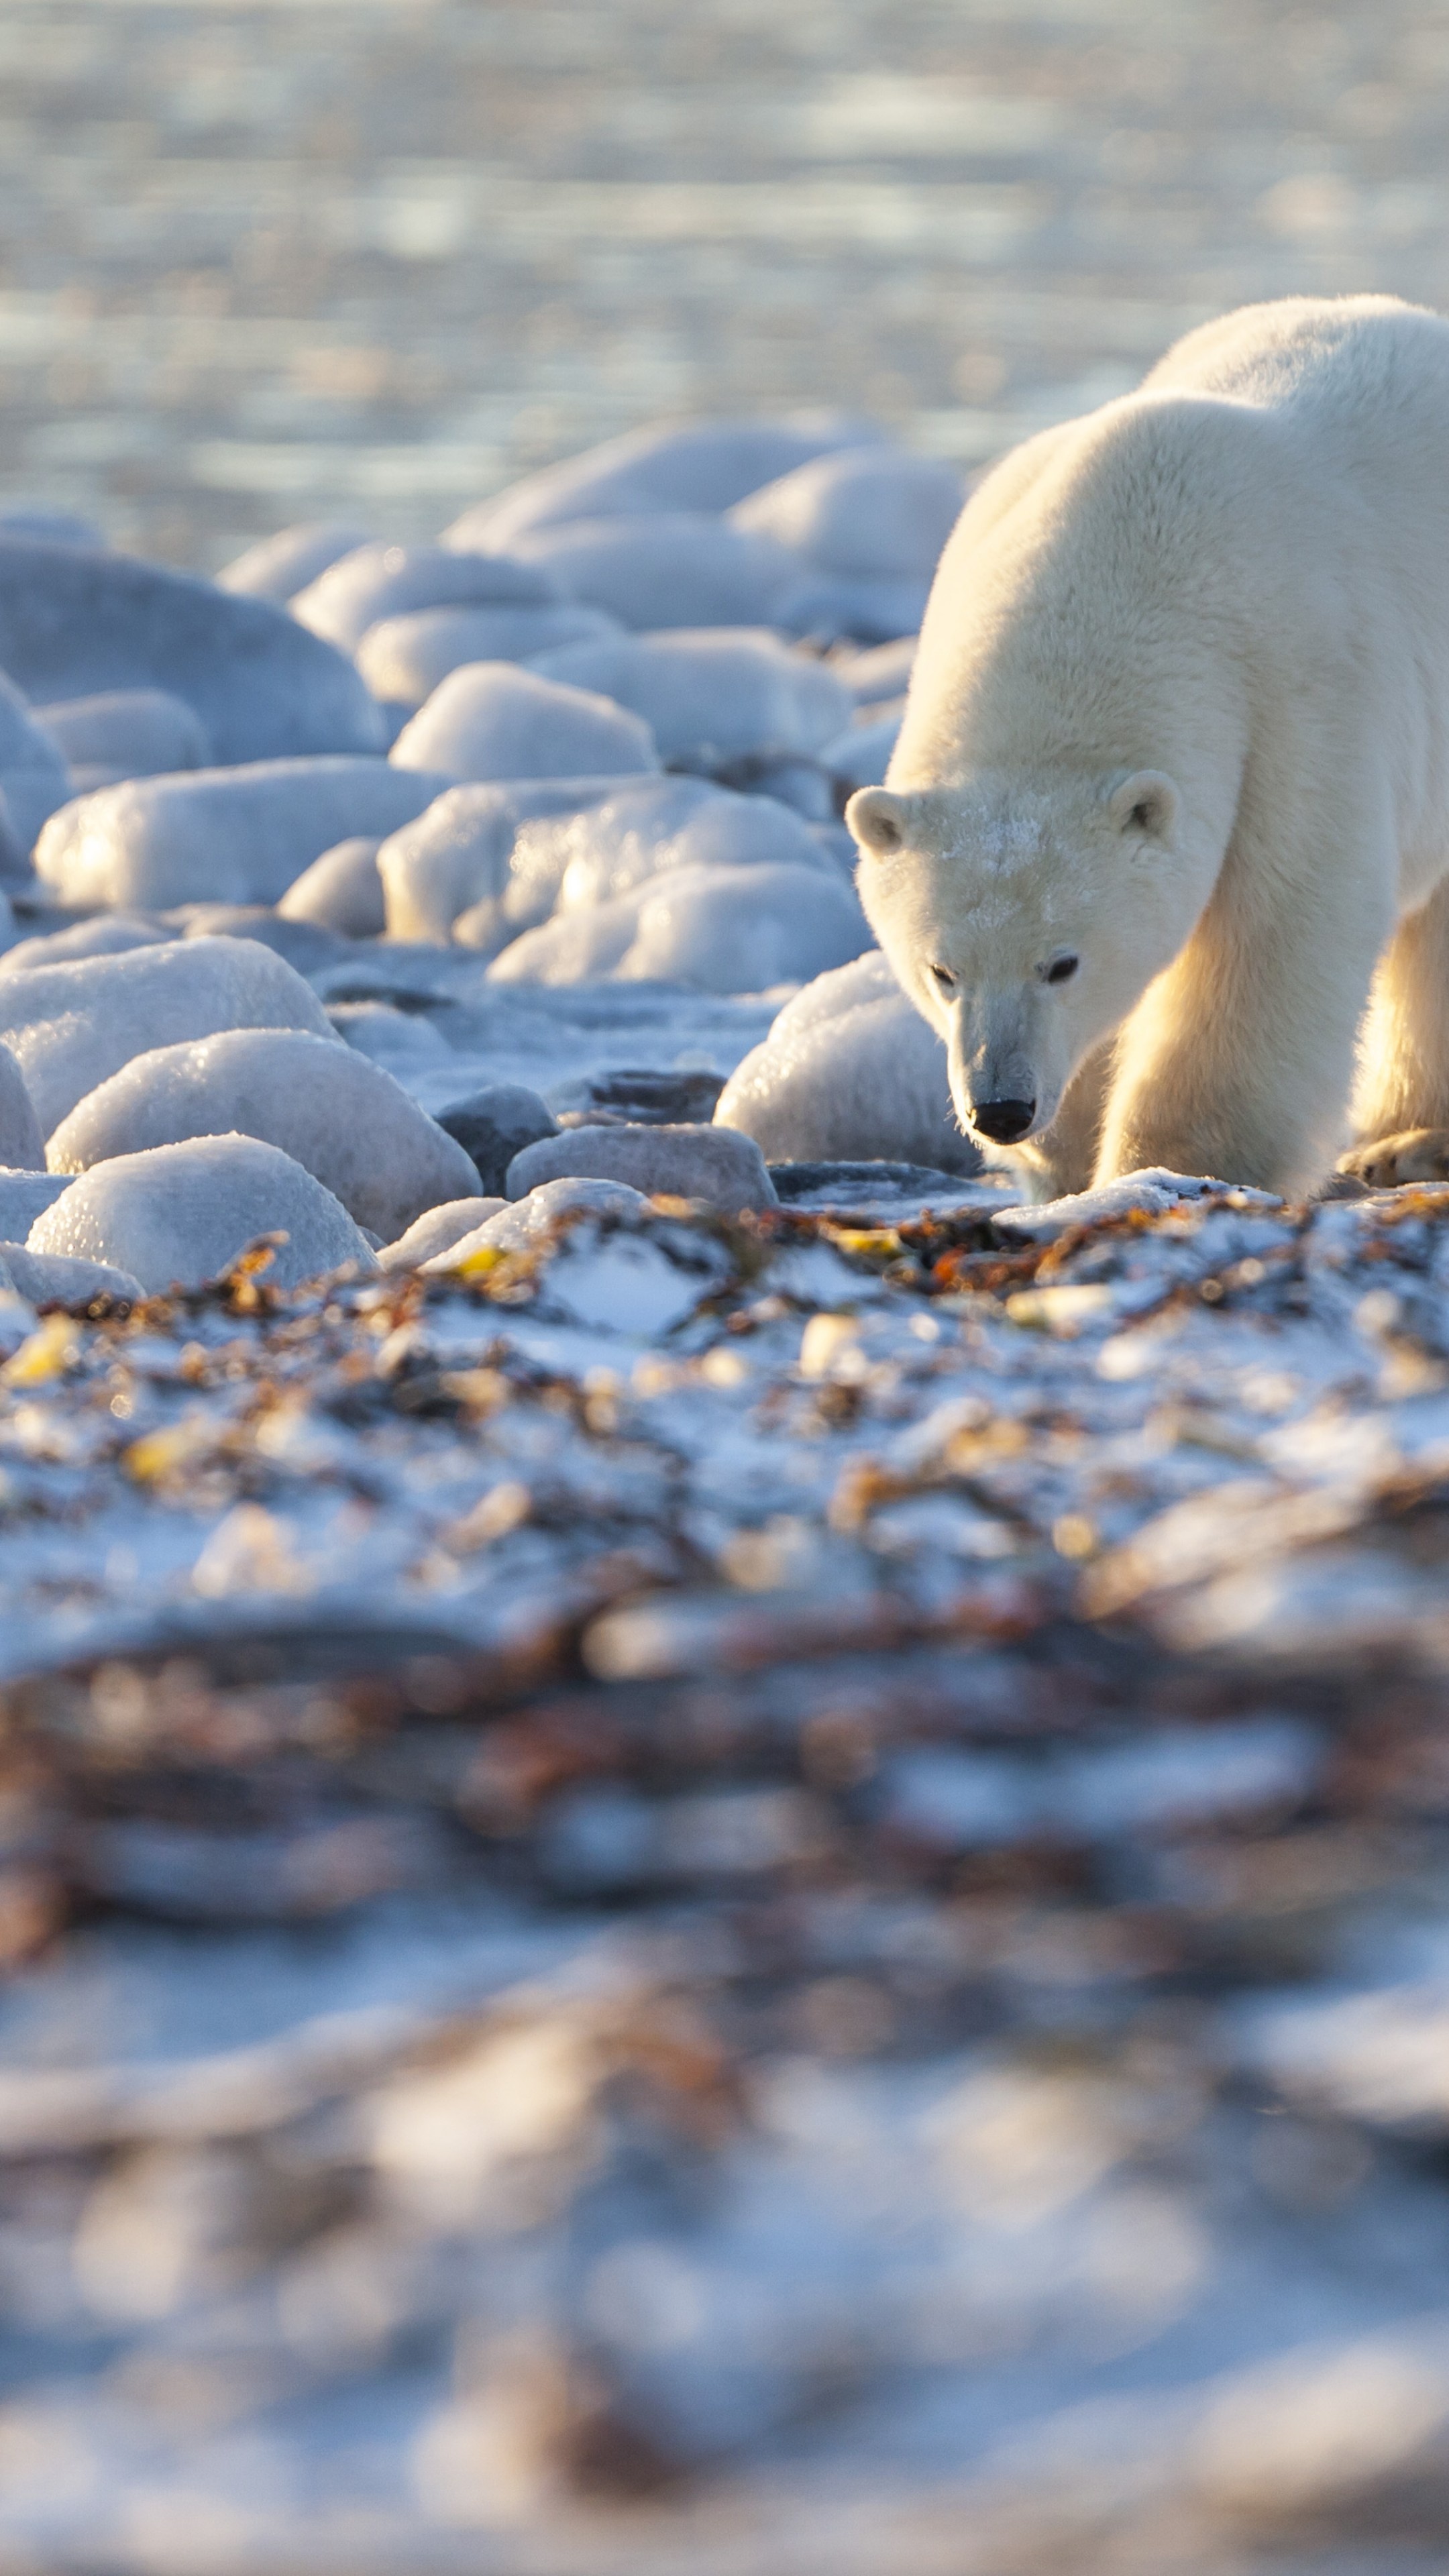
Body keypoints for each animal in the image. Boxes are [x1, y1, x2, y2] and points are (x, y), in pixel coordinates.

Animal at [840, 296, 1444, 1200]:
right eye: (941, 971)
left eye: (1063, 963)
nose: (1001, 1108)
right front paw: (1062, 1157)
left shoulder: (1301, 701)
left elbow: (1272, 938)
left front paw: (1171, 1163)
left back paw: (1406, 1139)